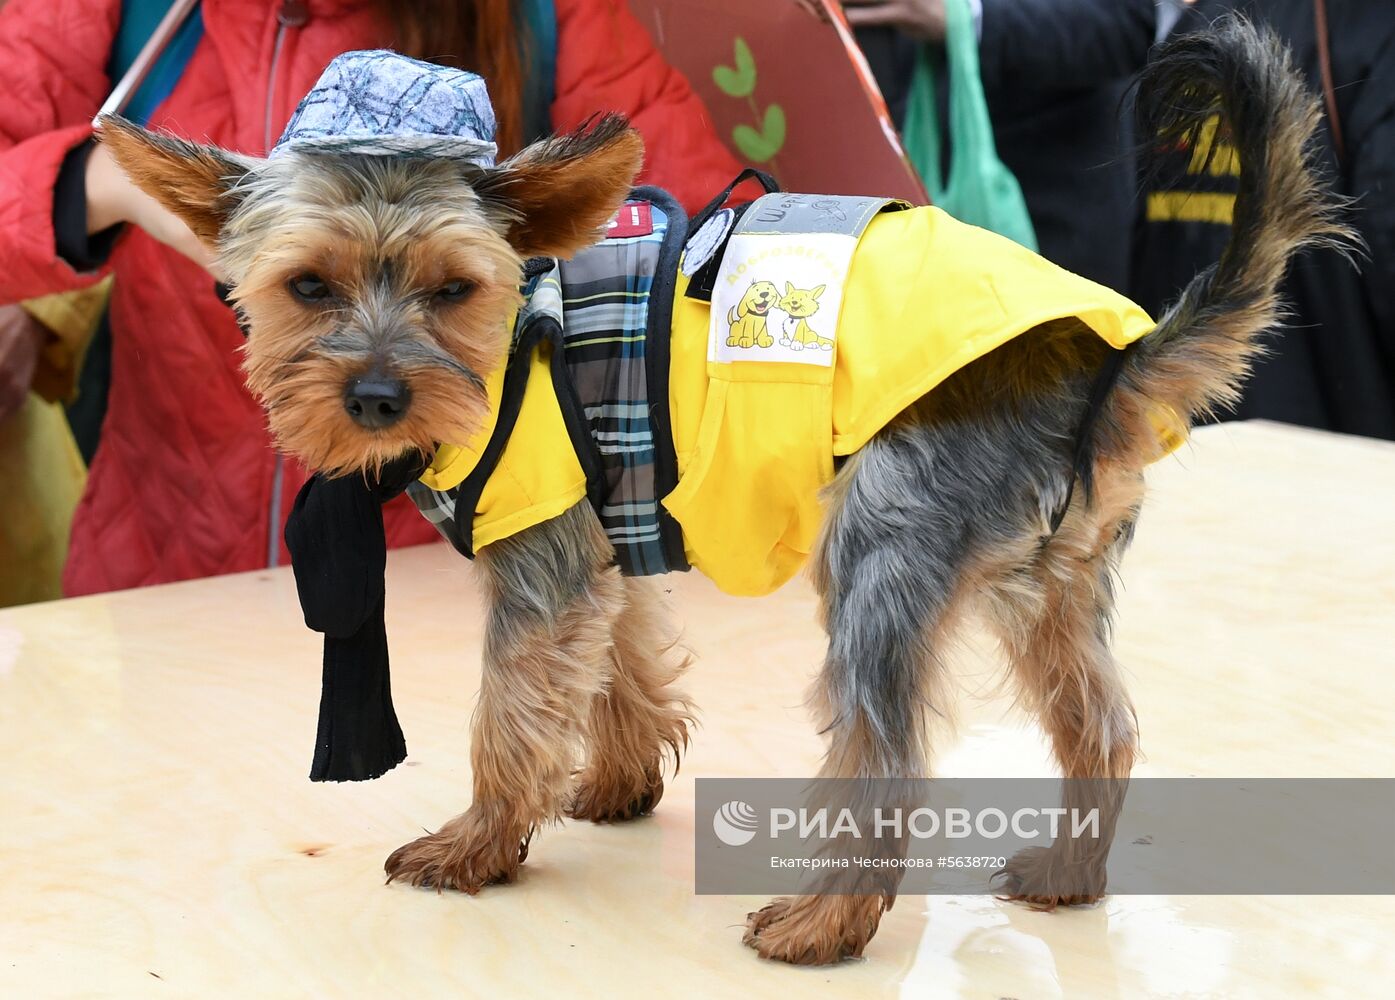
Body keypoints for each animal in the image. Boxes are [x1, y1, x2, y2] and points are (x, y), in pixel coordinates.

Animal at [103, 19, 1344, 965]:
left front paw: (476, 844)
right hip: (1050, 579)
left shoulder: (542, 552)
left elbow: (510, 714)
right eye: (307, 287)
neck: (516, 325)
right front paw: (617, 777)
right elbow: (622, 662)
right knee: (1106, 723)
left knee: (885, 761)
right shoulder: (609, 527)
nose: (373, 396)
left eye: (452, 289)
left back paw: (826, 922)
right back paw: (1071, 867)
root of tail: (1110, 361)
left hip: (885, 542)